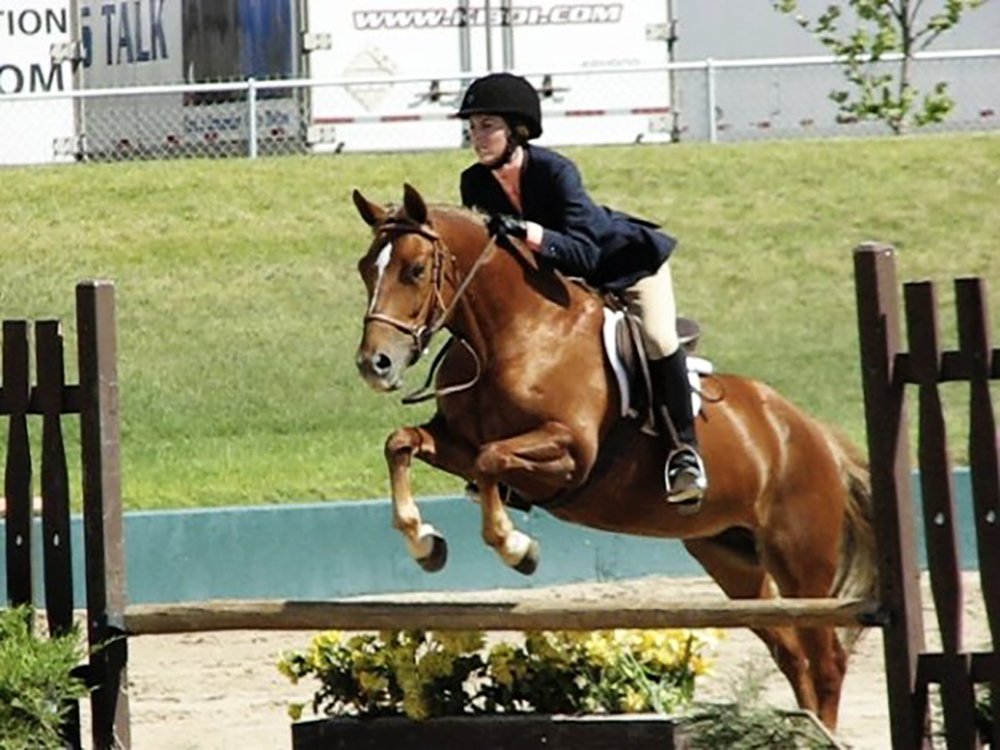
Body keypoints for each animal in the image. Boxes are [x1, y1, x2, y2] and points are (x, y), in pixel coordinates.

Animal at [351, 183, 877, 731]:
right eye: (366, 268)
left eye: (414, 269)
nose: (374, 364)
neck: (513, 334)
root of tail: (813, 433)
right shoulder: (456, 442)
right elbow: (401, 443)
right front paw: (423, 543)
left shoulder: (570, 454)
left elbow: (491, 461)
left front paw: (516, 547)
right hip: (732, 560)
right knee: (792, 652)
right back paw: (805, 727)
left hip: (800, 558)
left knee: (826, 660)